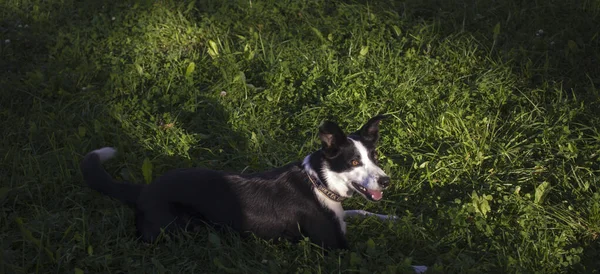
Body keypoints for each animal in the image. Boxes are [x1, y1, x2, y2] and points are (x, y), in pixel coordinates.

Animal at [79, 114, 398, 249]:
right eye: (354, 162)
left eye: (374, 157)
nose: (385, 181)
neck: (320, 181)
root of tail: (145, 189)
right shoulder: (335, 246)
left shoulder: (343, 215)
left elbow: (361, 211)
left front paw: (393, 218)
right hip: (177, 227)